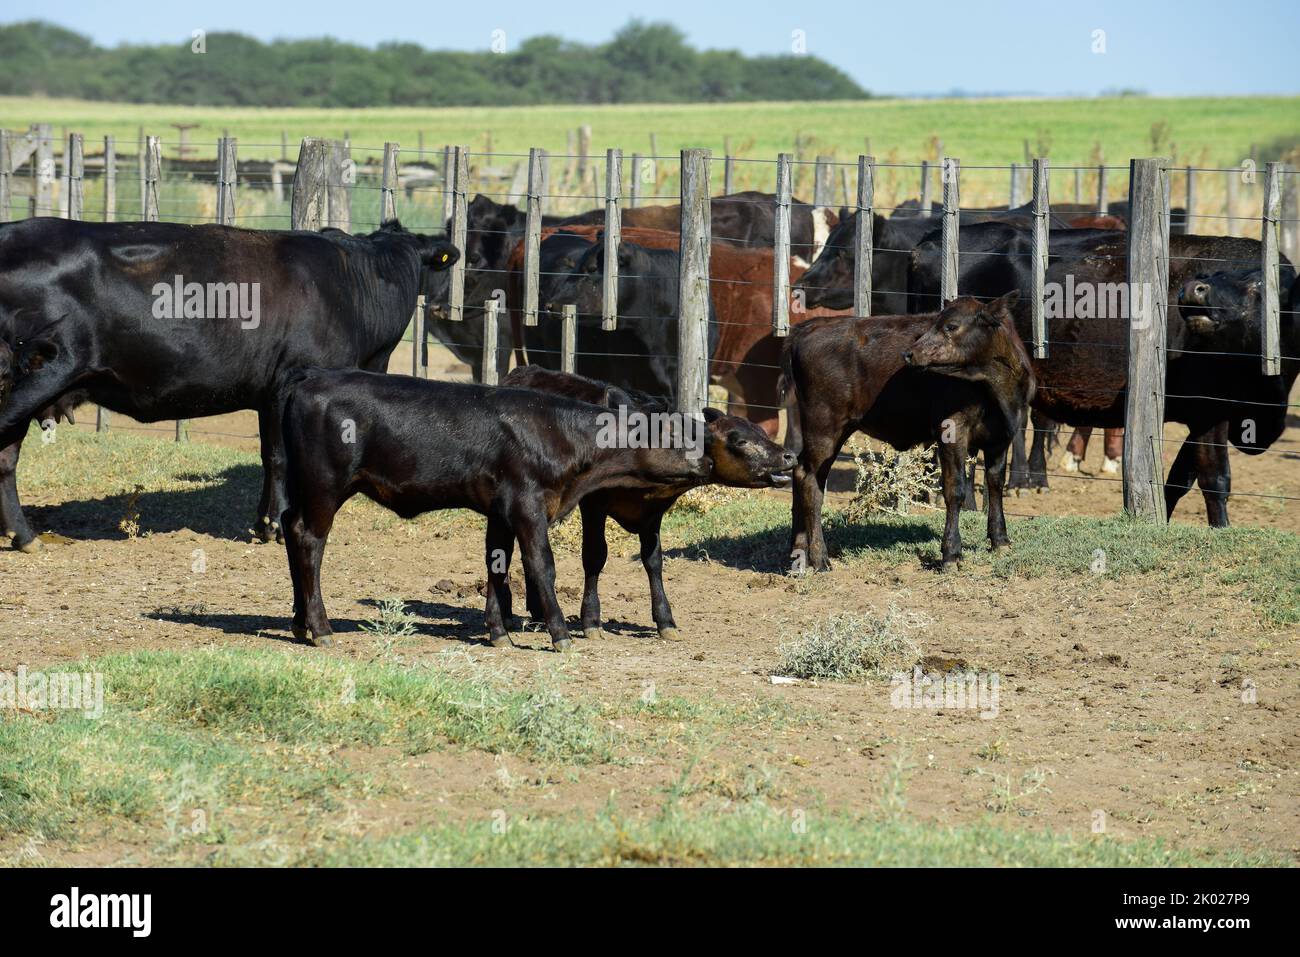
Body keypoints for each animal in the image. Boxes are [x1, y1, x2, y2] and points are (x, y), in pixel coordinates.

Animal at [0, 217, 459, 552]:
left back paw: (22, 537)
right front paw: (275, 526)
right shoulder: (291, 385)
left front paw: (264, 522)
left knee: (6, 456)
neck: (355, 285)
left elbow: (268, 456)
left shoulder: (269, 392)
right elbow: (281, 457)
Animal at [275, 368, 713, 650]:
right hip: (325, 486)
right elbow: (541, 566)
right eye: (670, 432)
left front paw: (499, 632)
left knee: (290, 526)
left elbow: (497, 565)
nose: (707, 460)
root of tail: (303, 386)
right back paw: (321, 628)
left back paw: (299, 623)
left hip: (304, 487)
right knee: (310, 542)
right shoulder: (527, 505)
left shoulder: (501, 511)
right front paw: (560, 634)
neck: (557, 433)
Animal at [501, 365, 795, 640]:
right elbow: (595, 556)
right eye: (740, 441)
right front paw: (591, 621)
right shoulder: (593, 505)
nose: (789, 456)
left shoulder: (653, 512)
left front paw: (666, 621)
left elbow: (653, 560)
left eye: (761, 431)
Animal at [782, 293, 1034, 572]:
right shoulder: (952, 430)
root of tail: (810, 328)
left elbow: (995, 482)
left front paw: (1000, 540)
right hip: (824, 428)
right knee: (810, 480)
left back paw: (798, 552)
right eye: (935, 323)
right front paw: (951, 553)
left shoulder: (1002, 435)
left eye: (951, 326)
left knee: (800, 472)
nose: (910, 353)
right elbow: (955, 489)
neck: (995, 389)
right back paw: (819, 557)